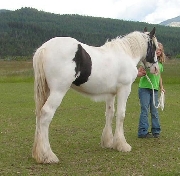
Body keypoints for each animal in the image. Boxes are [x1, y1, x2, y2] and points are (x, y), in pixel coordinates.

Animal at [32, 27, 159, 164]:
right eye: (155, 47)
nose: (156, 69)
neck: (126, 54)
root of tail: (44, 48)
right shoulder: (124, 89)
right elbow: (121, 115)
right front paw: (122, 145)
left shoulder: (110, 94)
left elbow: (110, 114)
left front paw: (108, 142)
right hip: (58, 91)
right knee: (46, 114)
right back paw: (48, 155)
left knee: (39, 115)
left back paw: (38, 153)